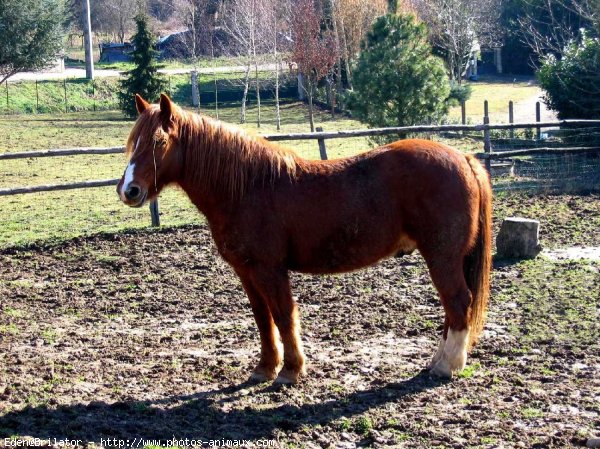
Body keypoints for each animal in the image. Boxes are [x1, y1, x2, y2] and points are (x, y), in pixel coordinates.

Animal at [117, 93, 492, 384]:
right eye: (133, 142)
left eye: (158, 141)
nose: (128, 190)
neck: (248, 187)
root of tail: (464, 158)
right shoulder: (246, 271)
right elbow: (262, 318)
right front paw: (265, 368)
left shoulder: (270, 269)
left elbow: (283, 315)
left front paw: (291, 371)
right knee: (451, 308)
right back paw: (437, 361)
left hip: (441, 256)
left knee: (458, 302)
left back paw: (446, 366)